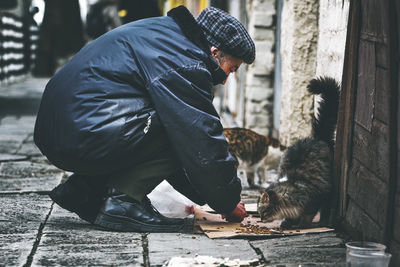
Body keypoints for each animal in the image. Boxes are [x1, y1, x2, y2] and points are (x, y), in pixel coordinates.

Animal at [256, 76, 340, 229]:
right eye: (258, 212)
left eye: (263, 211)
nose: (260, 219)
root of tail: (317, 138)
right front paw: (287, 223)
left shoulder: (316, 199)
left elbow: (307, 216)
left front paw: (302, 225)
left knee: (325, 210)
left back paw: (322, 222)